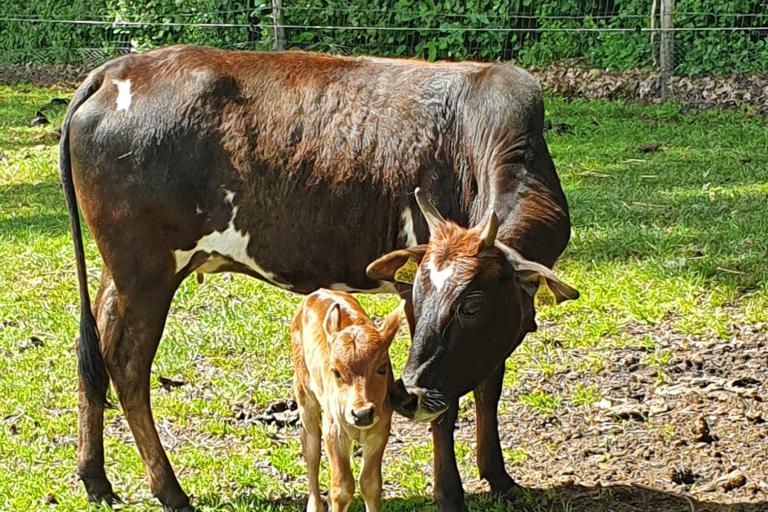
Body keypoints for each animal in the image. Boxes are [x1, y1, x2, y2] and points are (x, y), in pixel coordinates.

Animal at [290, 292, 402, 512]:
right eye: (336, 372)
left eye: (382, 367)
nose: (362, 413)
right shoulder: (334, 430)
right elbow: (341, 488)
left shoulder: (380, 430)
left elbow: (371, 484)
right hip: (303, 390)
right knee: (310, 447)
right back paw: (314, 505)